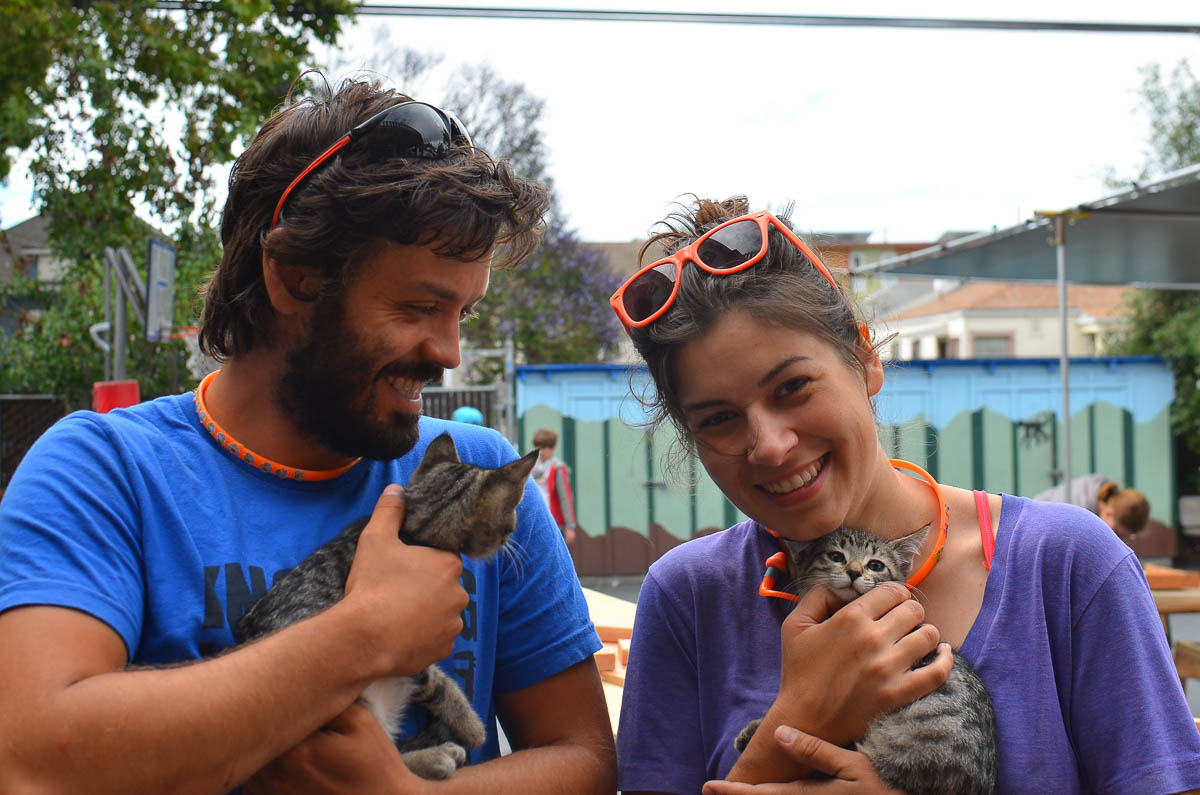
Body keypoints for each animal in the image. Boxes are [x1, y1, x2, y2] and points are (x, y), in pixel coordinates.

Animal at [236, 432, 537, 782]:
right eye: (511, 519)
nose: (512, 538)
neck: (417, 530)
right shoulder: (407, 648)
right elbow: (441, 683)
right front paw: (473, 728)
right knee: (381, 756)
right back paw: (435, 757)